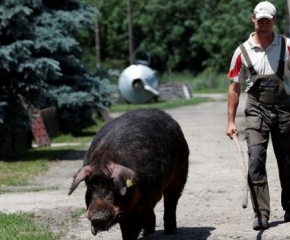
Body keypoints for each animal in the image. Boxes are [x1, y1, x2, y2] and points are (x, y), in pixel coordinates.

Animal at [69, 109, 189, 240]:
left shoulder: (145, 199)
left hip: (181, 169)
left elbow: (130, 228)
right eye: (91, 186)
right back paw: (147, 233)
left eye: (114, 187)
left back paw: (170, 232)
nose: (98, 217)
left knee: (171, 200)